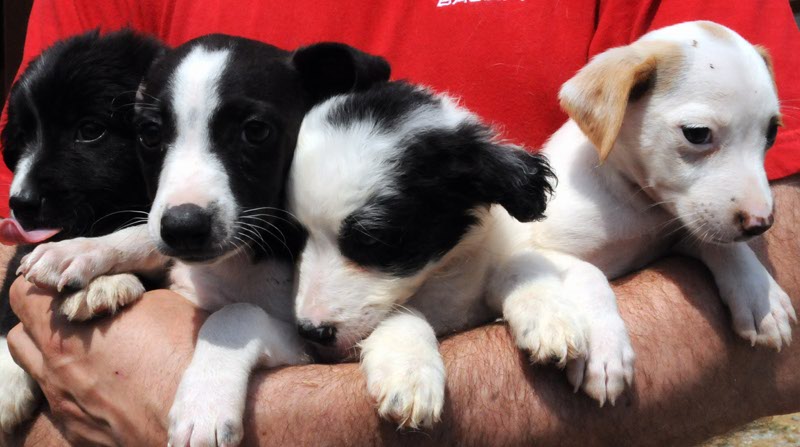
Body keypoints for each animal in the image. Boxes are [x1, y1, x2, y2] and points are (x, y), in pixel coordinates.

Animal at [0, 29, 164, 436]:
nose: (20, 203)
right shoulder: (29, 243)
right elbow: (10, 285)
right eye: (22, 137)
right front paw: (6, 377)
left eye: (90, 131)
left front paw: (99, 283)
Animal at [290, 81, 560, 430]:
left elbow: (520, 263)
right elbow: (400, 313)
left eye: (372, 239)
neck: (443, 275)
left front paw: (549, 315)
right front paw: (409, 371)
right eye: (292, 236)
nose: (311, 331)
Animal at [512, 20, 792, 406]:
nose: (760, 224)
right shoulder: (535, 248)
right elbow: (589, 273)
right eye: (697, 134)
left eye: (772, 133)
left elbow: (720, 244)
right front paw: (604, 348)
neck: (636, 204)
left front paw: (760, 293)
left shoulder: (674, 236)